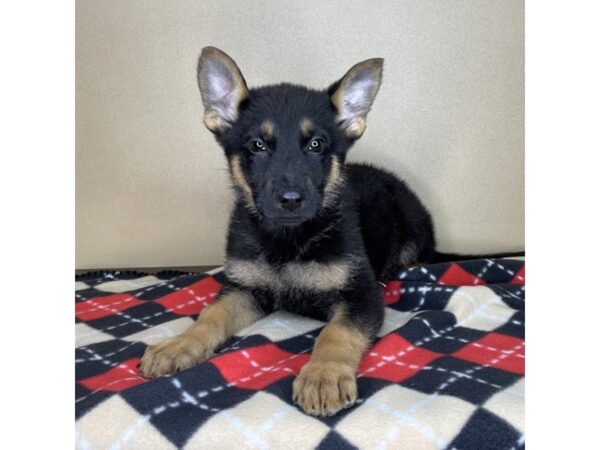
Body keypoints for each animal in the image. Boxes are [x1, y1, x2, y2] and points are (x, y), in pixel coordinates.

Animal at [141, 47, 520, 416]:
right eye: (257, 146)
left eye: (317, 145)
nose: (291, 200)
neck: (289, 239)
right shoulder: (243, 289)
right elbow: (210, 316)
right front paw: (178, 344)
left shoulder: (361, 296)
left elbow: (336, 333)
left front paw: (323, 375)